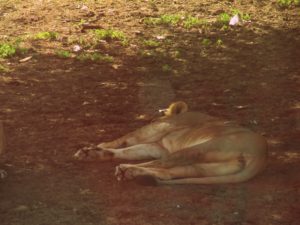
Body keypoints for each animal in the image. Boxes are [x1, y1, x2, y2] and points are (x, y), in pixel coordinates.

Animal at [74, 102, 268, 185]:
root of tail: (260, 155)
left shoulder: (159, 130)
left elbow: (126, 140)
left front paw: (95, 148)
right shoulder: (157, 146)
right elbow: (129, 149)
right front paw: (94, 152)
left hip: (202, 147)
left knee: (161, 163)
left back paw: (126, 169)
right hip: (203, 168)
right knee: (167, 172)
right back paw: (133, 172)